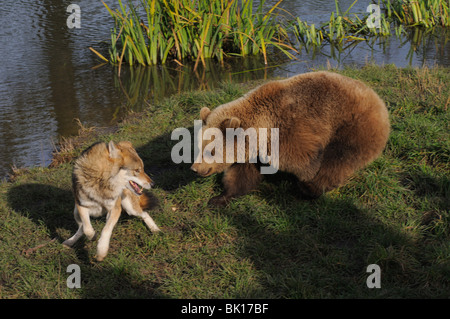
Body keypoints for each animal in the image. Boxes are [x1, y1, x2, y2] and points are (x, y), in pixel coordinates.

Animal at [191, 71, 390, 206]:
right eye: (198, 147)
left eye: (211, 150)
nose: (195, 169)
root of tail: (378, 100)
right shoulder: (254, 151)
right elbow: (241, 175)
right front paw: (219, 198)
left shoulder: (290, 130)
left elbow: (303, 159)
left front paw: (304, 183)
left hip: (351, 126)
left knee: (338, 159)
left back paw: (311, 189)